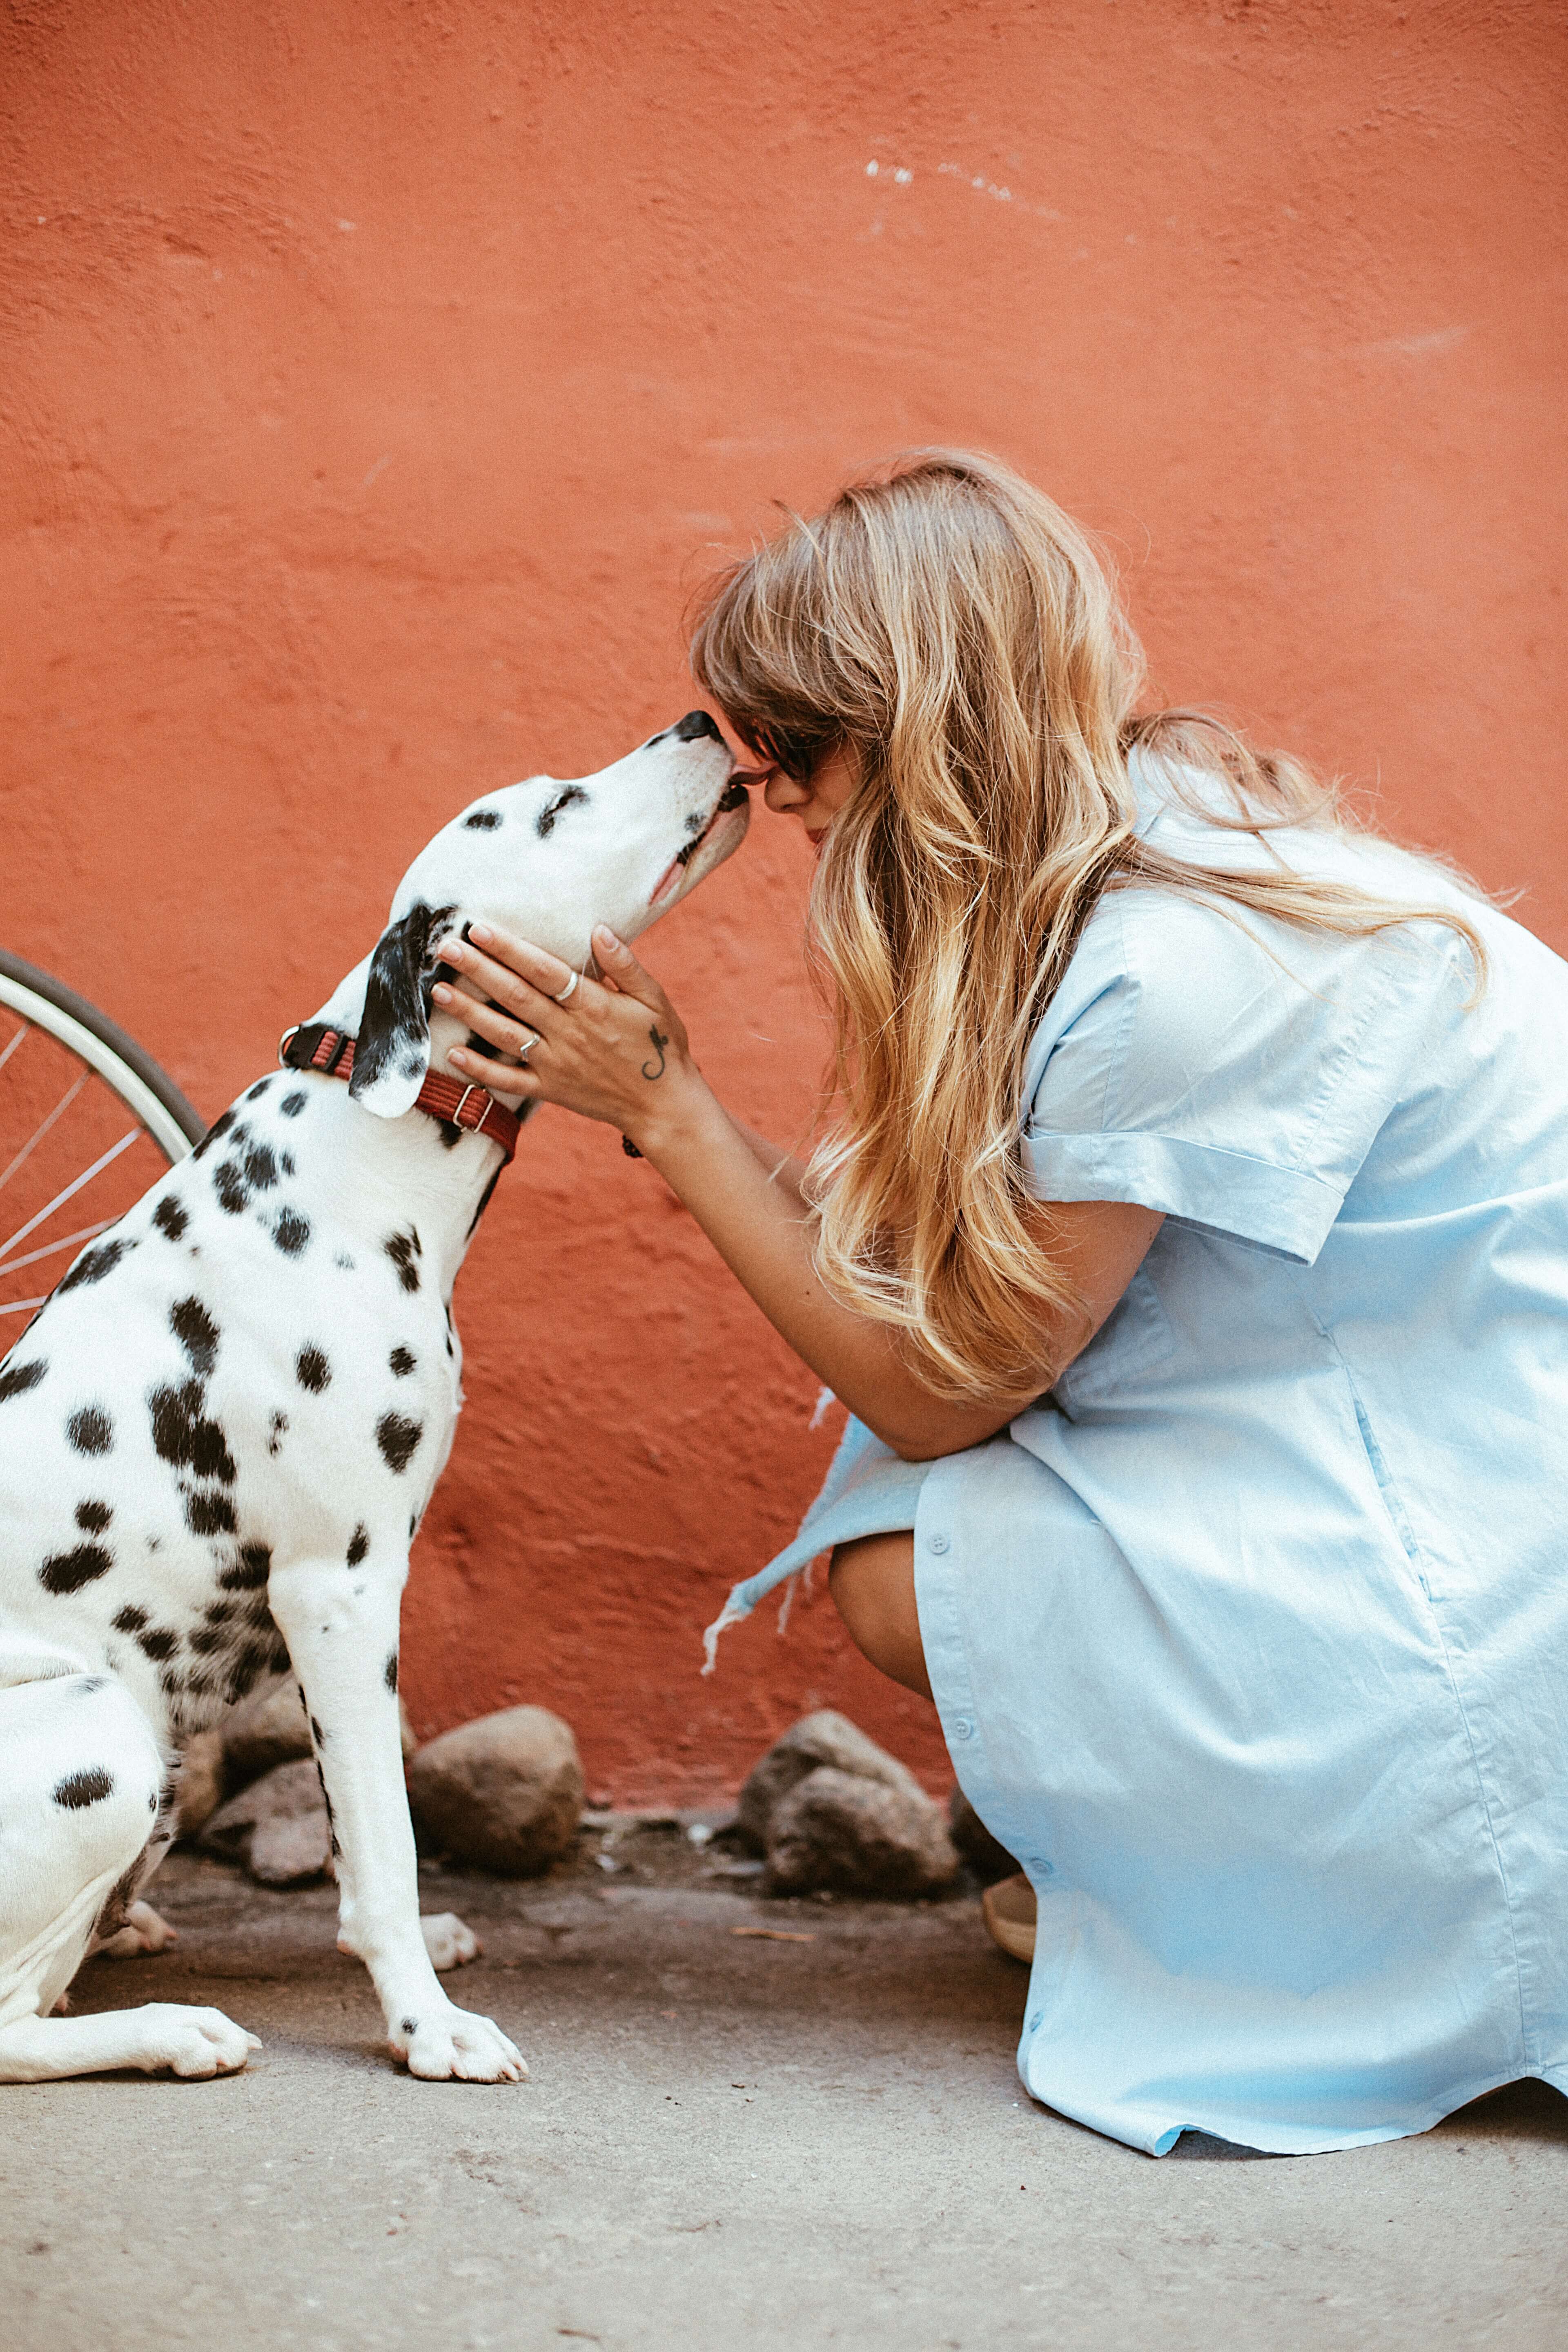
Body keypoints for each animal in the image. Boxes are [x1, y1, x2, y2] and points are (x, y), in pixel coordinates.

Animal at [0, 706, 747, 2088]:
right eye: (557, 806)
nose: (699, 720)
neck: (358, 1151)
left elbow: (364, 1835)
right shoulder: (338, 1591)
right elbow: (388, 1839)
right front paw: (427, 2028)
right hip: (101, 1732)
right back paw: (170, 2028)